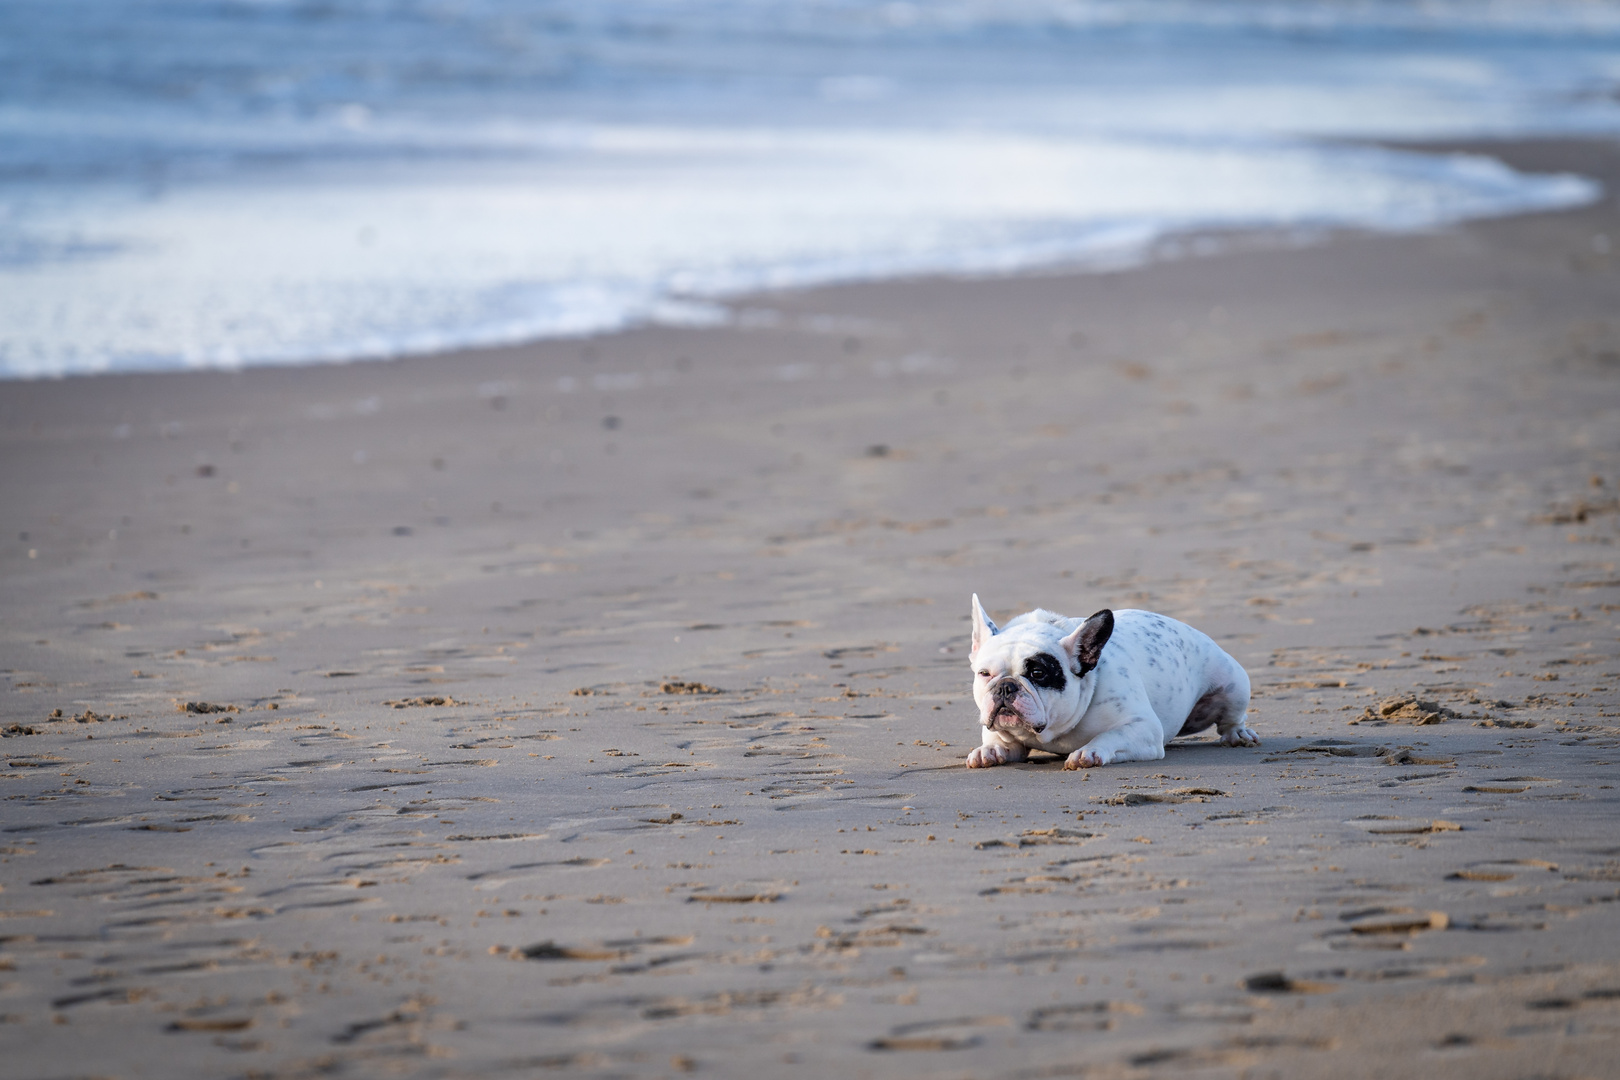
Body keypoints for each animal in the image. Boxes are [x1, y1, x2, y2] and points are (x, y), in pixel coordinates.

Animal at [965, 599, 1257, 767]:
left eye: (1038, 673)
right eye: (984, 674)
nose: (1006, 686)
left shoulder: (1144, 727)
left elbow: (1111, 735)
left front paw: (1089, 751)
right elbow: (999, 740)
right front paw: (988, 750)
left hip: (1234, 684)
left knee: (1231, 718)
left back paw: (1238, 735)